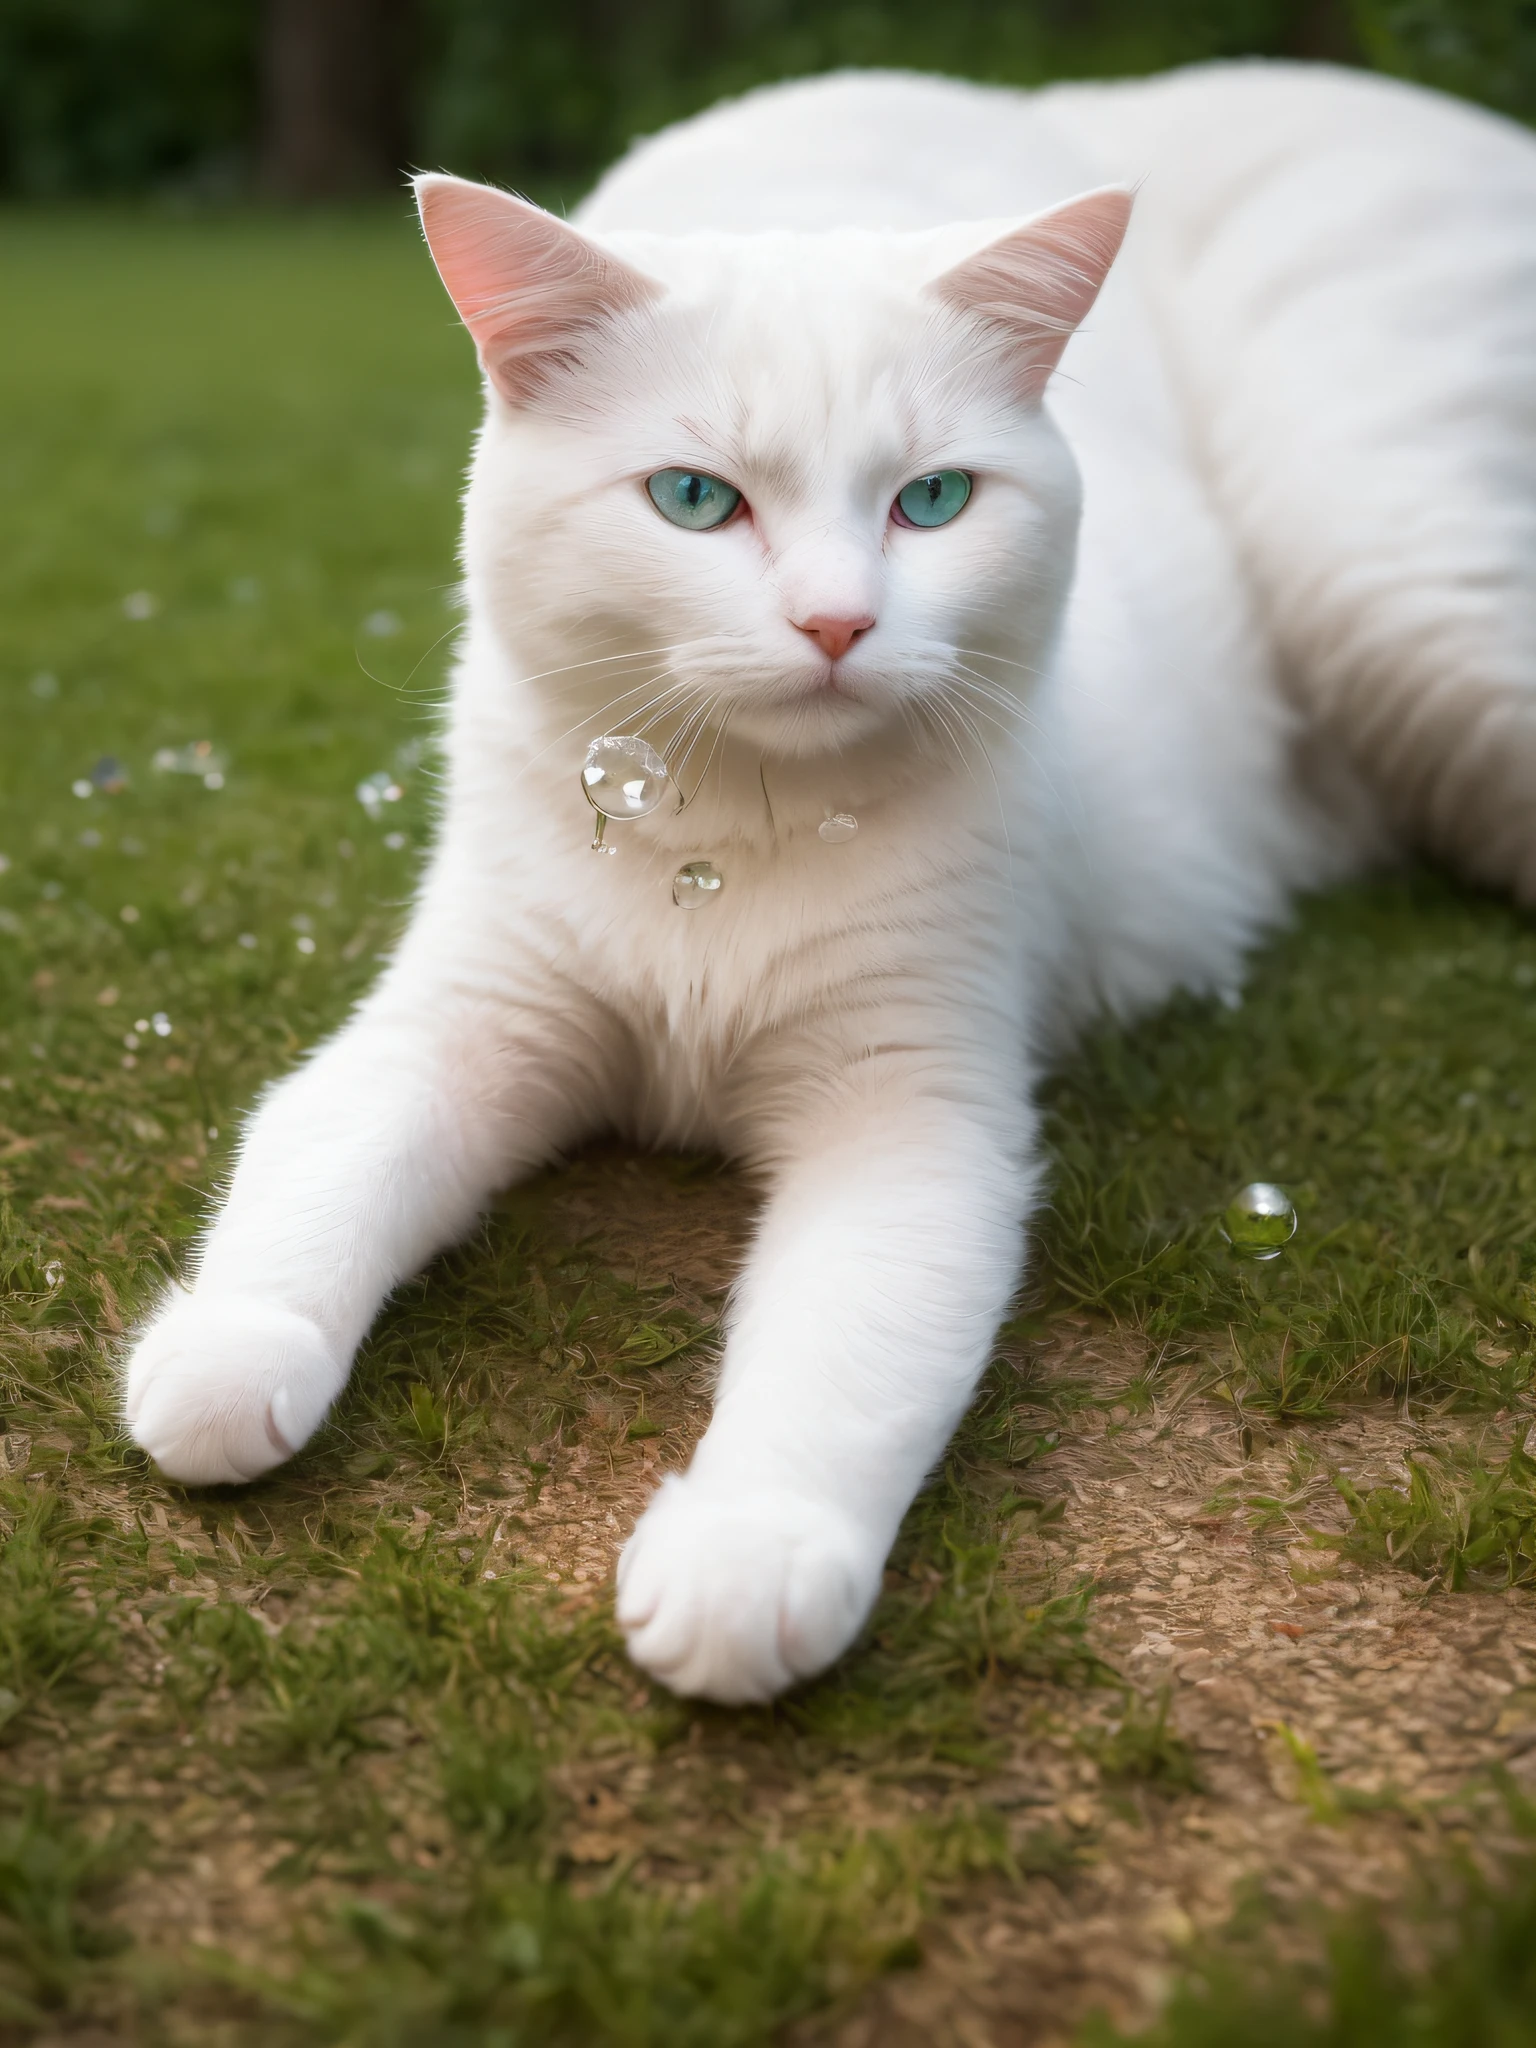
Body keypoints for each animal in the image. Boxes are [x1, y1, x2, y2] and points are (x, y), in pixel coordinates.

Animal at [126, 59, 1536, 1695]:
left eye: (933, 501)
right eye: (692, 498)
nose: (838, 623)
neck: (722, 850)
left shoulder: (907, 1120)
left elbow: (840, 1350)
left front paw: (748, 1552)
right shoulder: (466, 1014)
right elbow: (326, 1152)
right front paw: (229, 1348)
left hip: (1391, 584)